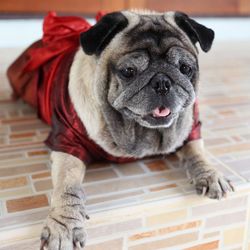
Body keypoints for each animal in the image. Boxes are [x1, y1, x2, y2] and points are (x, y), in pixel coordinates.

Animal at [7, 9, 234, 250]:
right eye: (128, 71)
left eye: (185, 68)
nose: (162, 82)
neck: (138, 130)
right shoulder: (67, 142)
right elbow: (67, 186)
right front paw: (64, 225)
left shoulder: (190, 130)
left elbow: (197, 153)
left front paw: (210, 174)